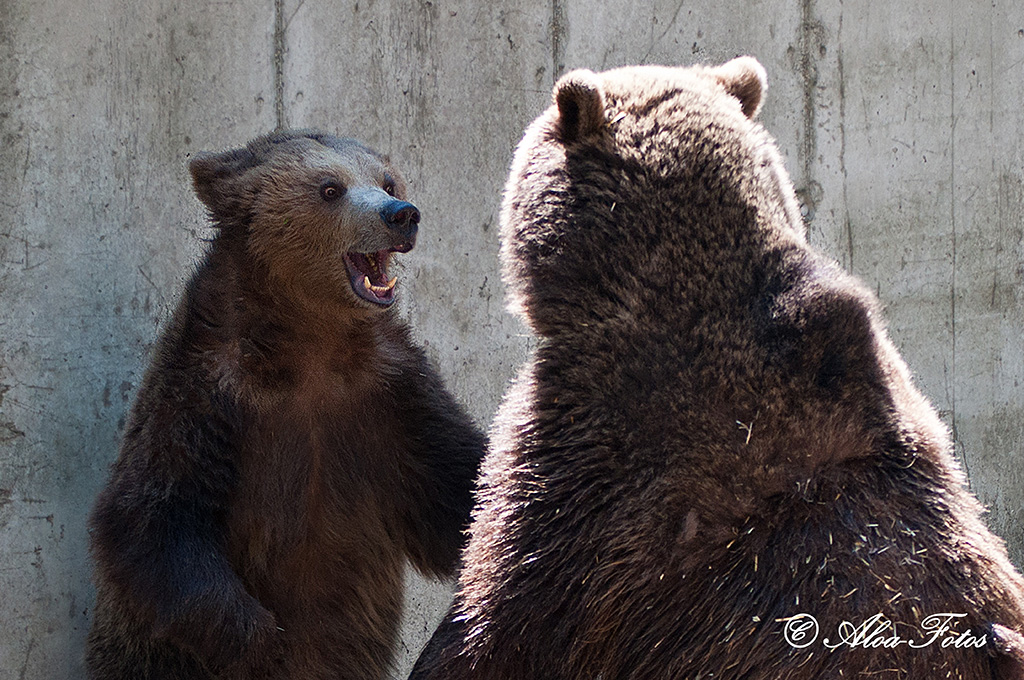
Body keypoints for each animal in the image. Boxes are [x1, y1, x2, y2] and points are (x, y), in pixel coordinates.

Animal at [84, 129, 483, 680]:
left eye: (386, 180)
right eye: (330, 188)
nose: (401, 214)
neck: (308, 343)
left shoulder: (393, 395)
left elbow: (457, 488)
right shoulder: (207, 394)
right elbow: (155, 514)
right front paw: (257, 636)